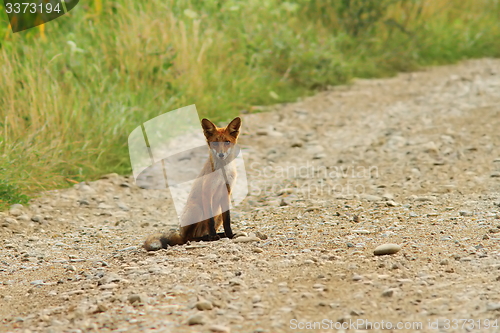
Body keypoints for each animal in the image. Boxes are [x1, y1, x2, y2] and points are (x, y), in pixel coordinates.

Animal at [143, 116, 242, 249]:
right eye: (215, 143)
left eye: (227, 142)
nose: (221, 155)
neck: (222, 172)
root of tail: (180, 234)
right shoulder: (207, 192)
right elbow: (210, 221)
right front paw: (213, 237)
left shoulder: (227, 193)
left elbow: (228, 220)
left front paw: (230, 235)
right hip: (197, 209)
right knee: (189, 238)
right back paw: (207, 238)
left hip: (218, 215)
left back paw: (218, 235)